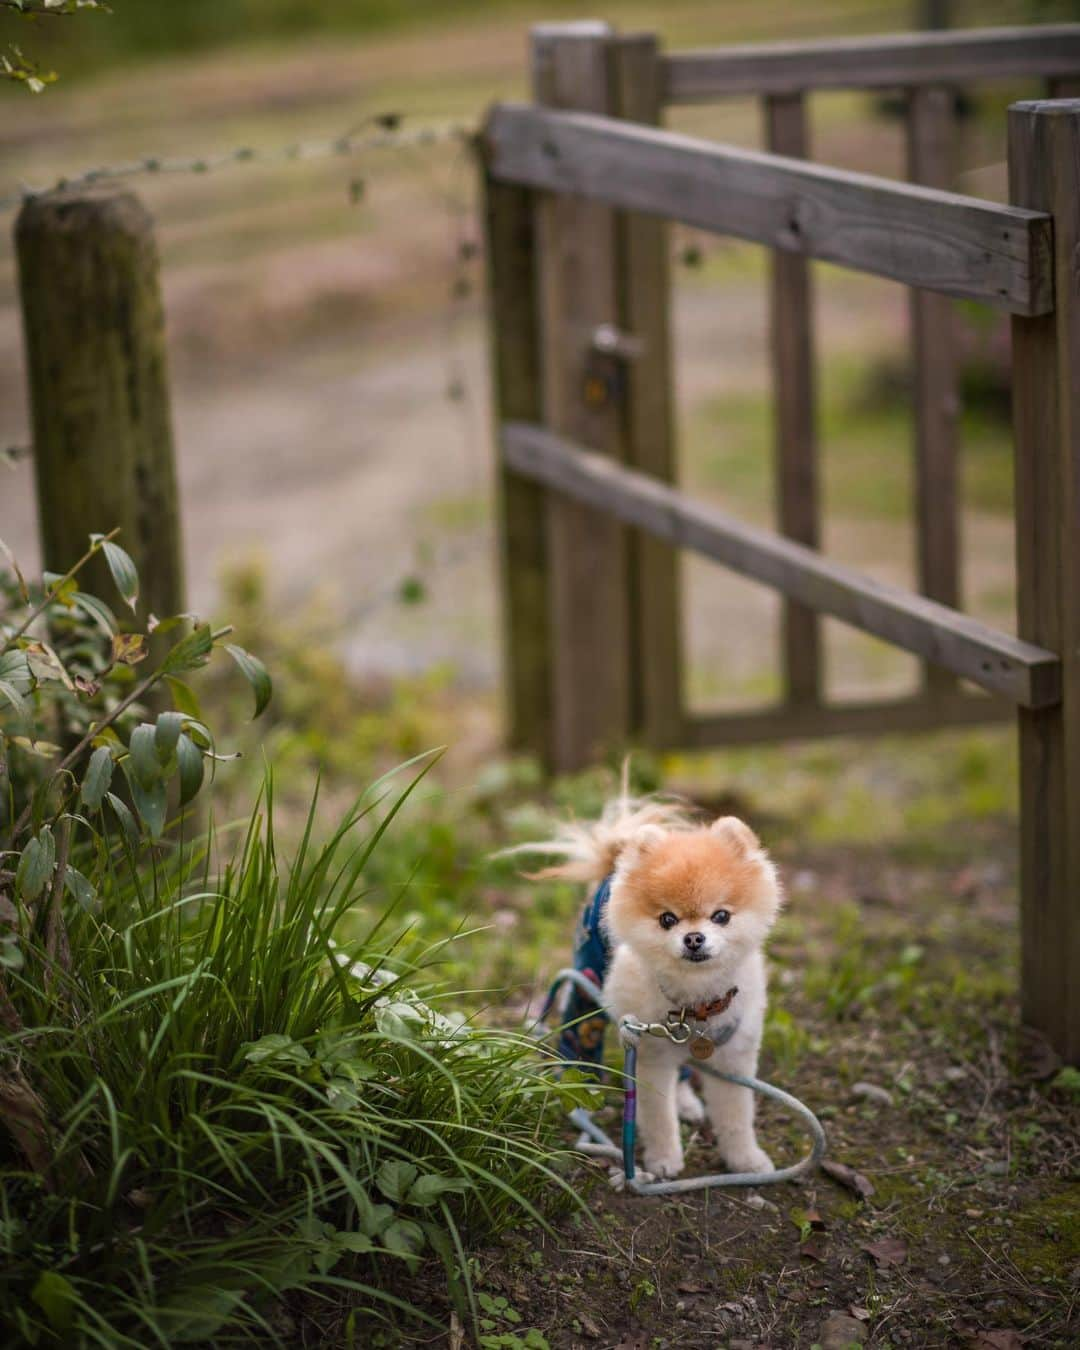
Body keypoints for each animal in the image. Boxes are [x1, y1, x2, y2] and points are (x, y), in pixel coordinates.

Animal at [521, 793, 783, 1177]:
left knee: (685, 1070)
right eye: (667, 919)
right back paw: (581, 1090)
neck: (695, 1004)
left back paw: (686, 1101)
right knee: (581, 1036)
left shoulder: (733, 1058)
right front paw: (663, 1160)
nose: (694, 938)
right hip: (588, 982)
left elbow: (737, 1116)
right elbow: (658, 1117)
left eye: (721, 916)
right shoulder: (649, 1057)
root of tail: (612, 861)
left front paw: (746, 1160)